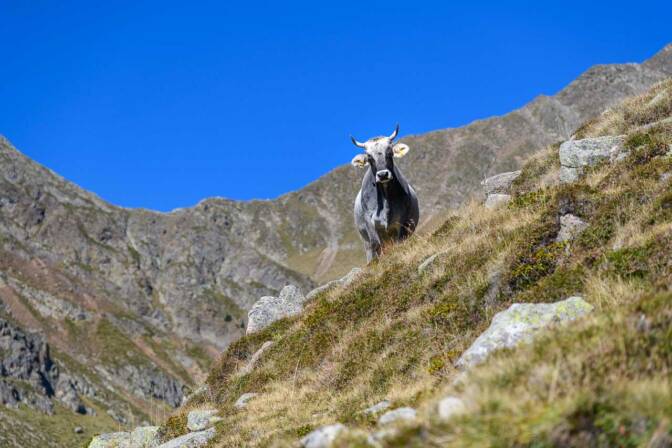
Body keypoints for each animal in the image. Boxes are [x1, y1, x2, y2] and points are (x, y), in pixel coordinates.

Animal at [350, 124, 420, 262]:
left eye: (389, 151)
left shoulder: (402, 221)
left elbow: (400, 241)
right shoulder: (369, 220)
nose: (382, 175)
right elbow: (376, 243)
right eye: (369, 157)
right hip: (365, 241)